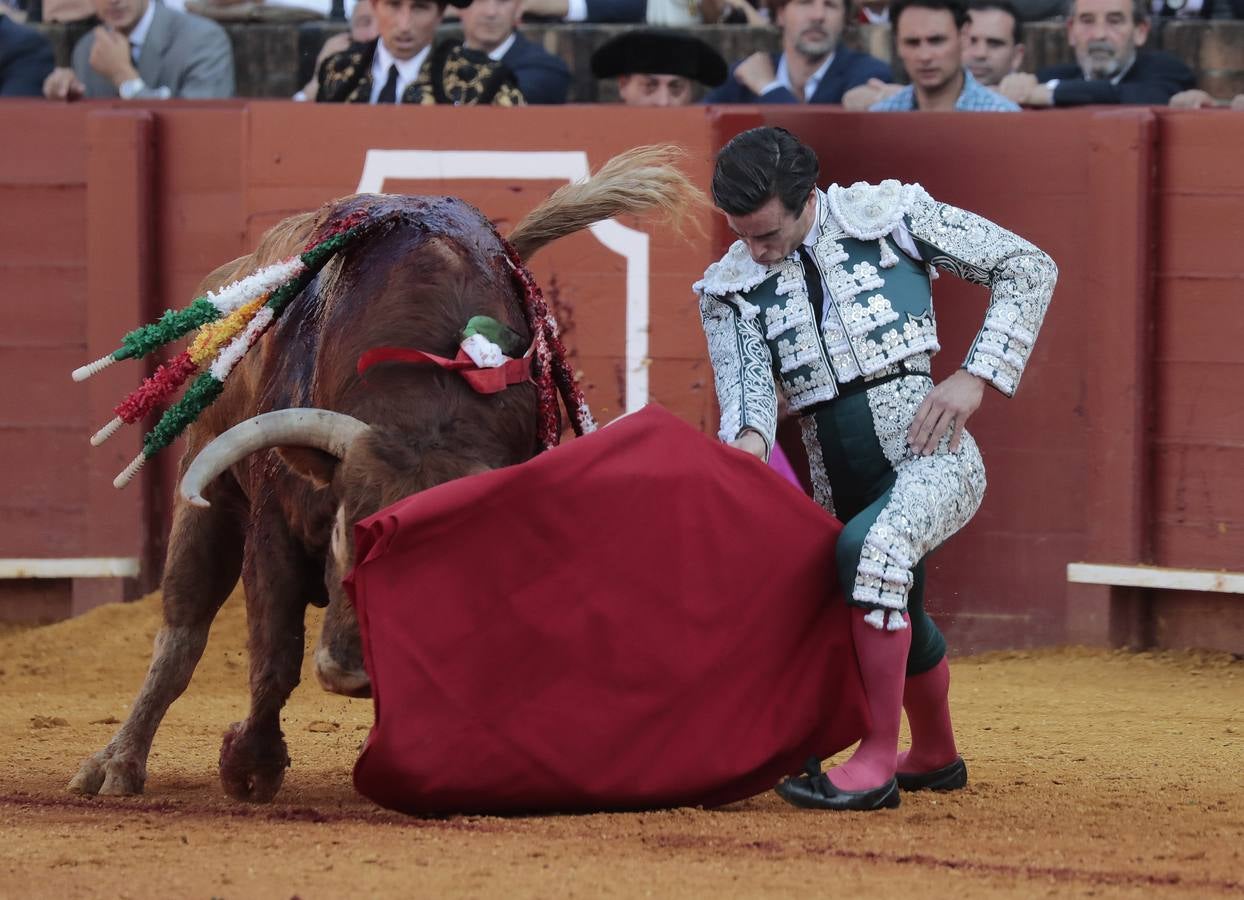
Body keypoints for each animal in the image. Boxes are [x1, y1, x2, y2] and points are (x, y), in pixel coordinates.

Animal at [68, 146, 696, 801]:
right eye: (344, 536)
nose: (352, 673)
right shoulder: (272, 524)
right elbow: (275, 653)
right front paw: (249, 766)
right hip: (206, 493)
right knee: (181, 633)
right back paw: (115, 765)